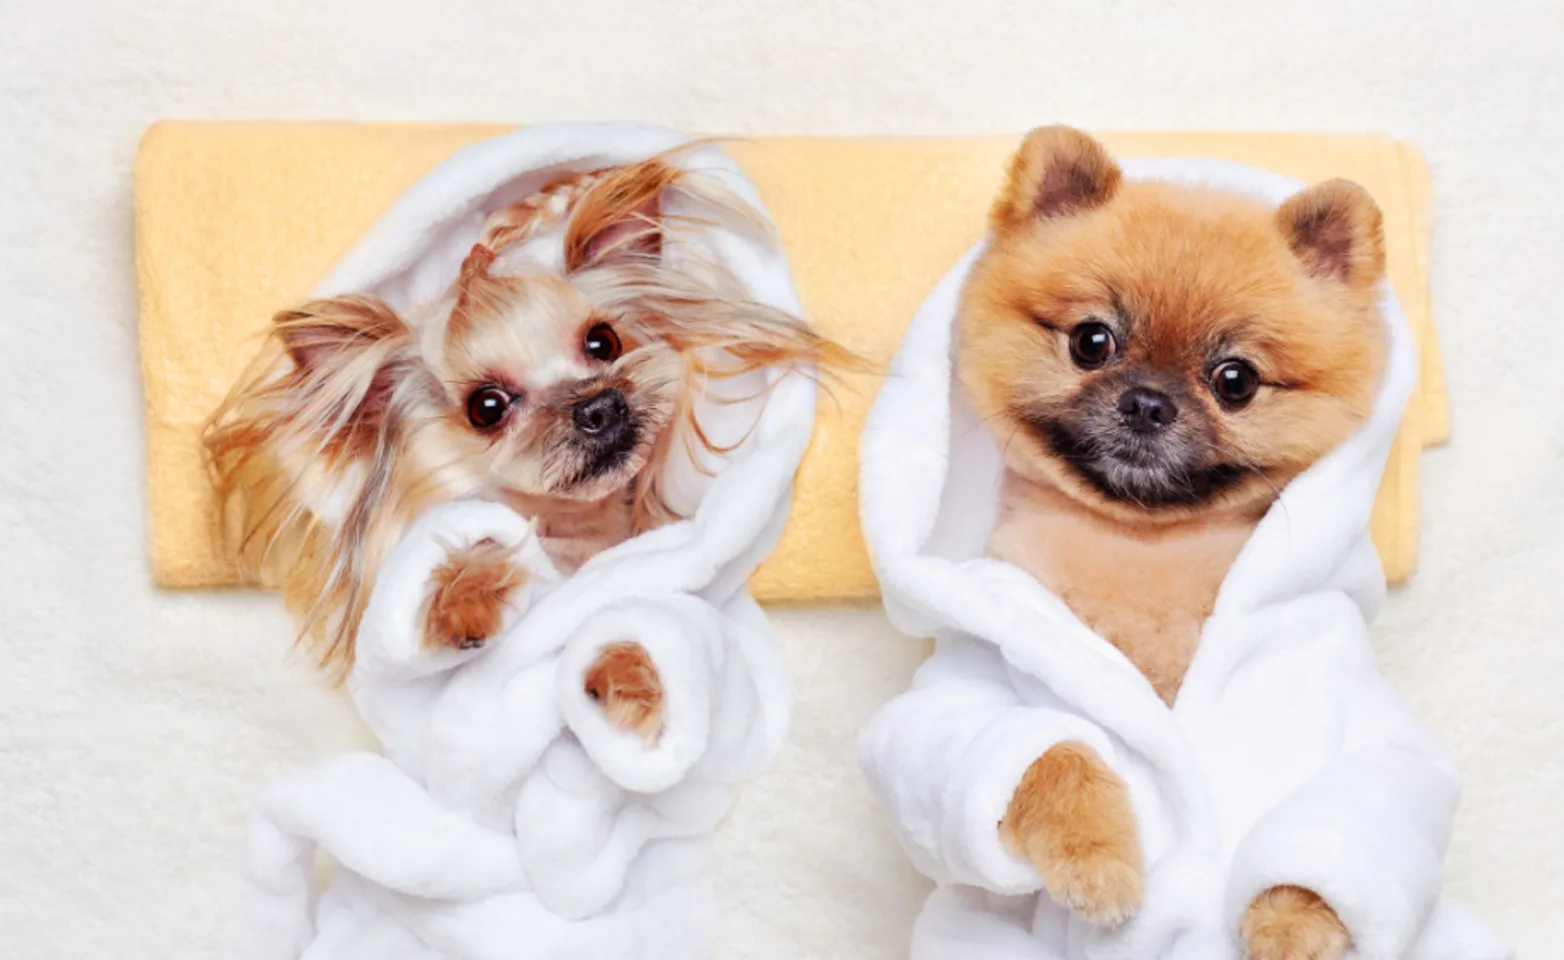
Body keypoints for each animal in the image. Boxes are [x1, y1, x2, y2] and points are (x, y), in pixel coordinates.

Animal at [211, 152, 844, 744]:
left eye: (603, 341)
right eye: (486, 407)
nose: (600, 406)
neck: (577, 534)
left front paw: (632, 686)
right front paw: (464, 602)